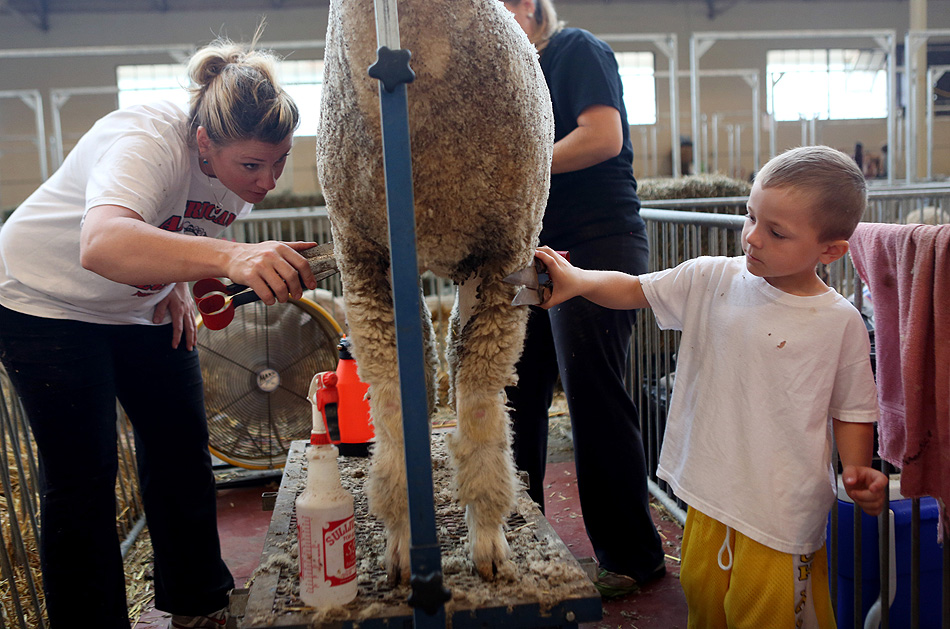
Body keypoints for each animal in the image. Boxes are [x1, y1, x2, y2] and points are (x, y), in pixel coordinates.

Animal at [316, 0, 554, 582]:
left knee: (455, 358)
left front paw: (488, 540)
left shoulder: (504, 252)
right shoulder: (363, 258)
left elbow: (480, 399)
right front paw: (404, 545)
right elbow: (395, 397)